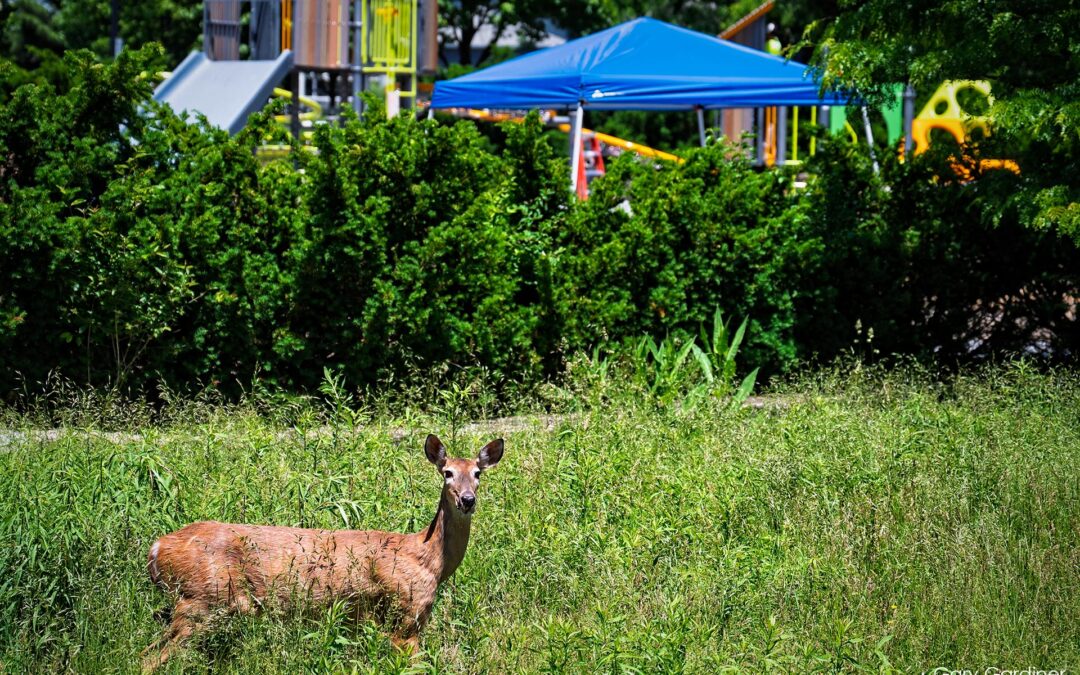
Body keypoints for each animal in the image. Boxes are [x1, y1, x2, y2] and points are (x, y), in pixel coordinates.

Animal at [141, 434, 503, 672]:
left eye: (477, 473)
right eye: (447, 473)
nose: (467, 499)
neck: (429, 558)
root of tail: (157, 548)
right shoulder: (405, 617)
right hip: (201, 601)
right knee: (150, 659)